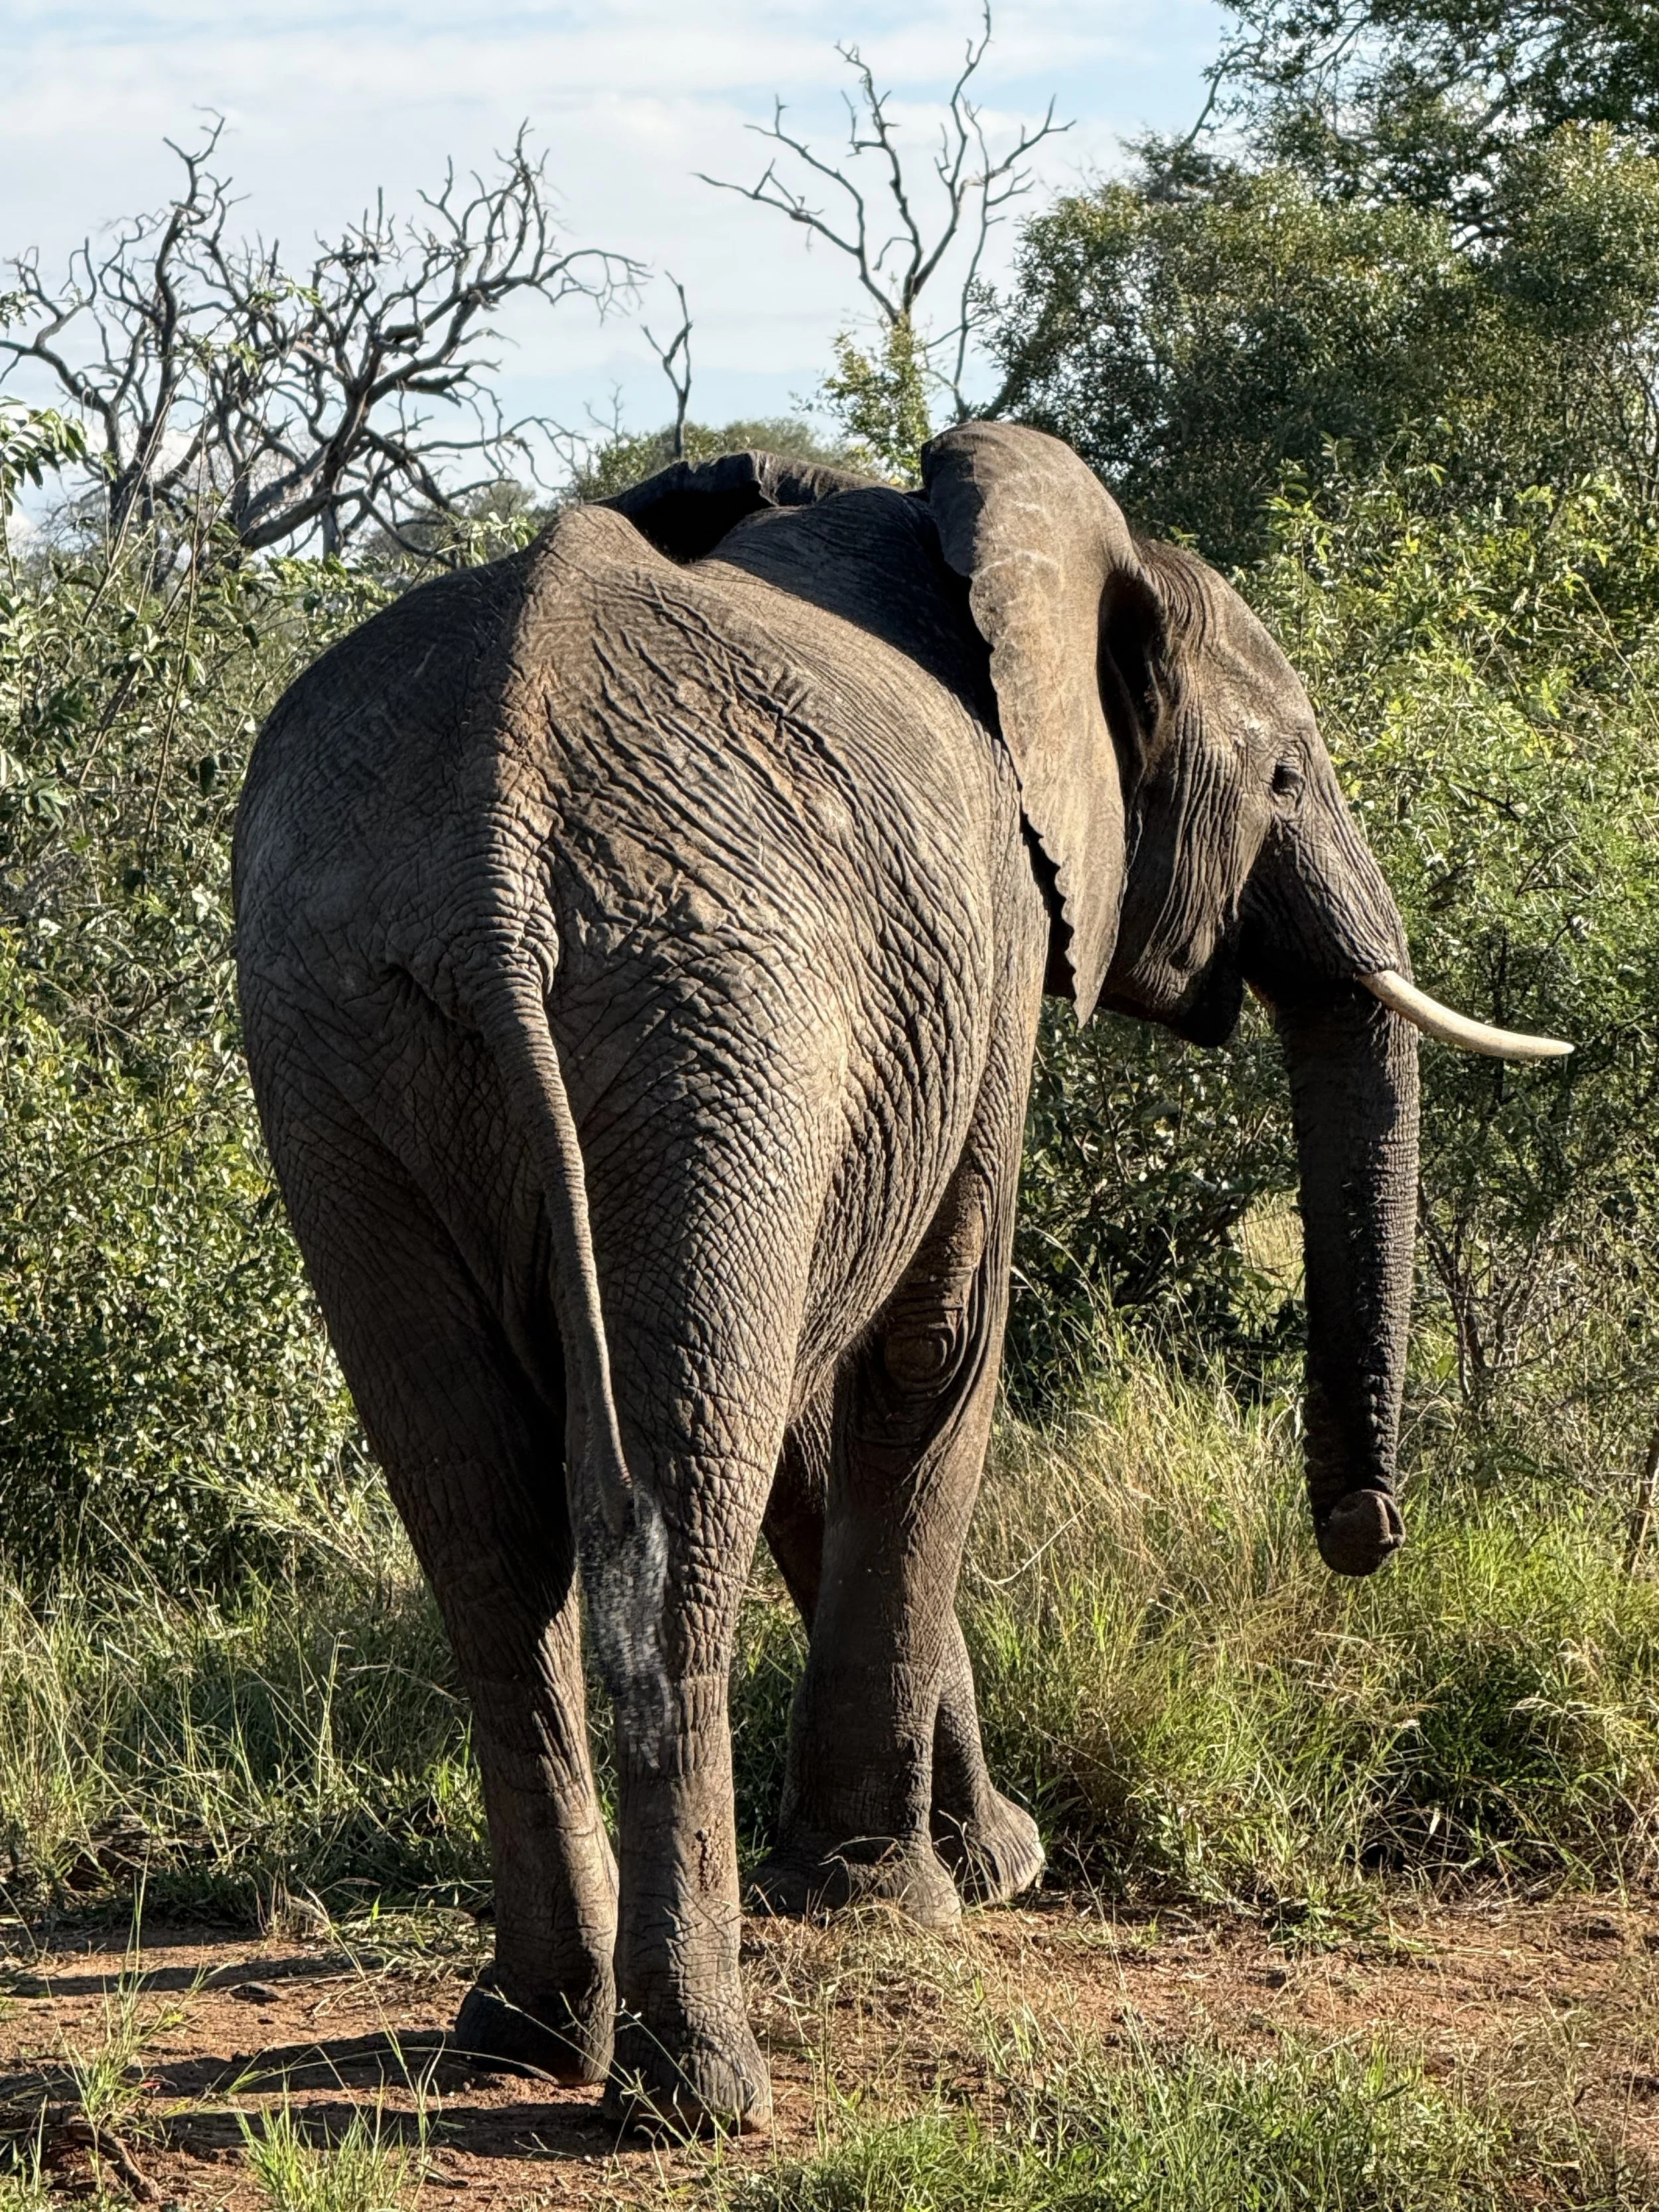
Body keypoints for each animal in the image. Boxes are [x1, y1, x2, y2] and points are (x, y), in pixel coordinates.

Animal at [233, 423, 1565, 2133]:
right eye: (1282, 773)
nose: (1362, 1531)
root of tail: (492, 854)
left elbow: (821, 1411)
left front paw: (980, 1863)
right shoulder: (984, 954)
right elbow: (928, 1352)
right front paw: (912, 1895)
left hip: (341, 1040)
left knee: (478, 1511)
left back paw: (526, 2034)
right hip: (717, 1016)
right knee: (675, 1495)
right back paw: (697, 2085)